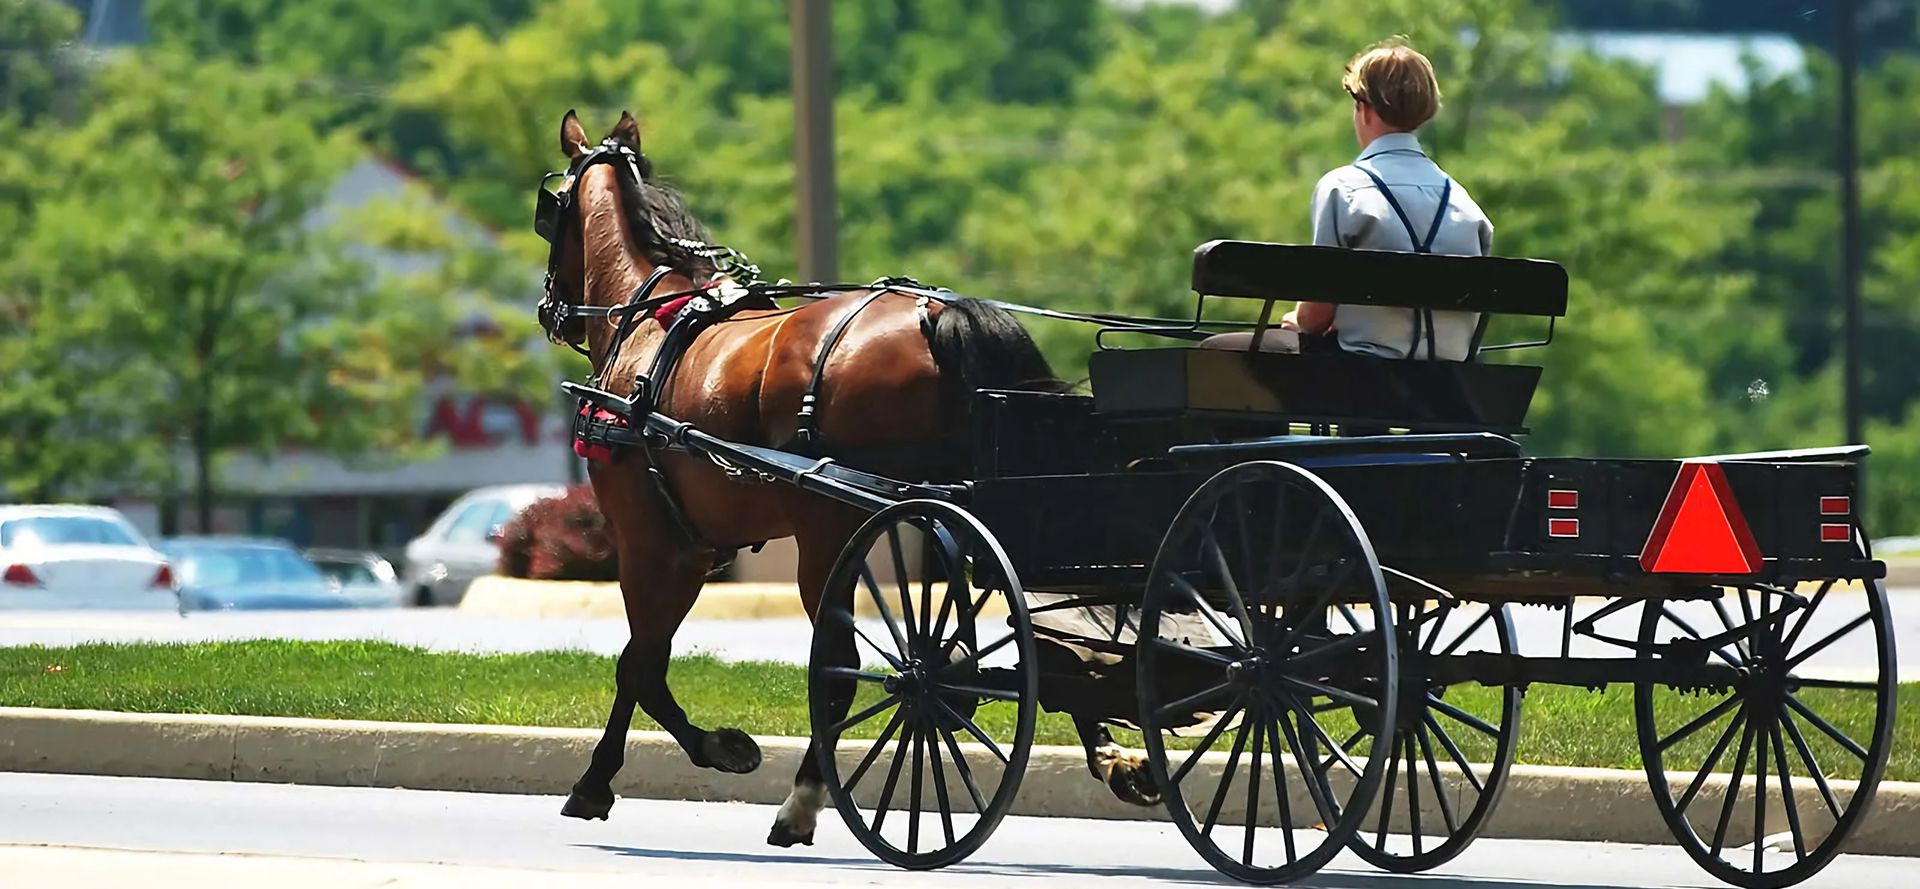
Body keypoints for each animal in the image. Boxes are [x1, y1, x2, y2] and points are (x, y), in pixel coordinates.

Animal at [541, 111, 1144, 848]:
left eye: (549, 210)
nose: (548, 308)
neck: (648, 321)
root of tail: (934, 316)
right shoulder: (693, 547)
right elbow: (643, 662)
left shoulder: (657, 544)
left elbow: (640, 666)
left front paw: (634, 770)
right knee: (1032, 629)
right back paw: (1109, 749)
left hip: (831, 535)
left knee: (845, 670)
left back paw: (803, 800)